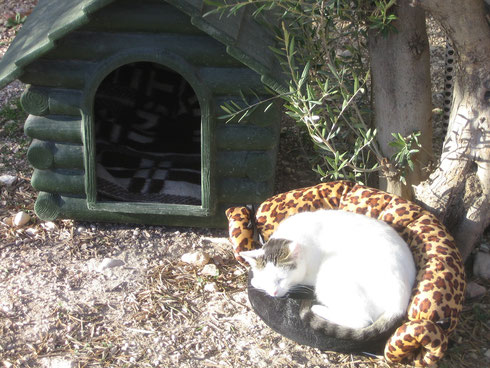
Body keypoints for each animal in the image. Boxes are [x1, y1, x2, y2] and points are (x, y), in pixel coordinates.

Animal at [239, 208, 416, 340]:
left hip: (329, 277)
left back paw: (318, 309)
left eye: (281, 279)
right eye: (267, 279)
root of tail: (399, 305)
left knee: (361, 320)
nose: (274, 293)